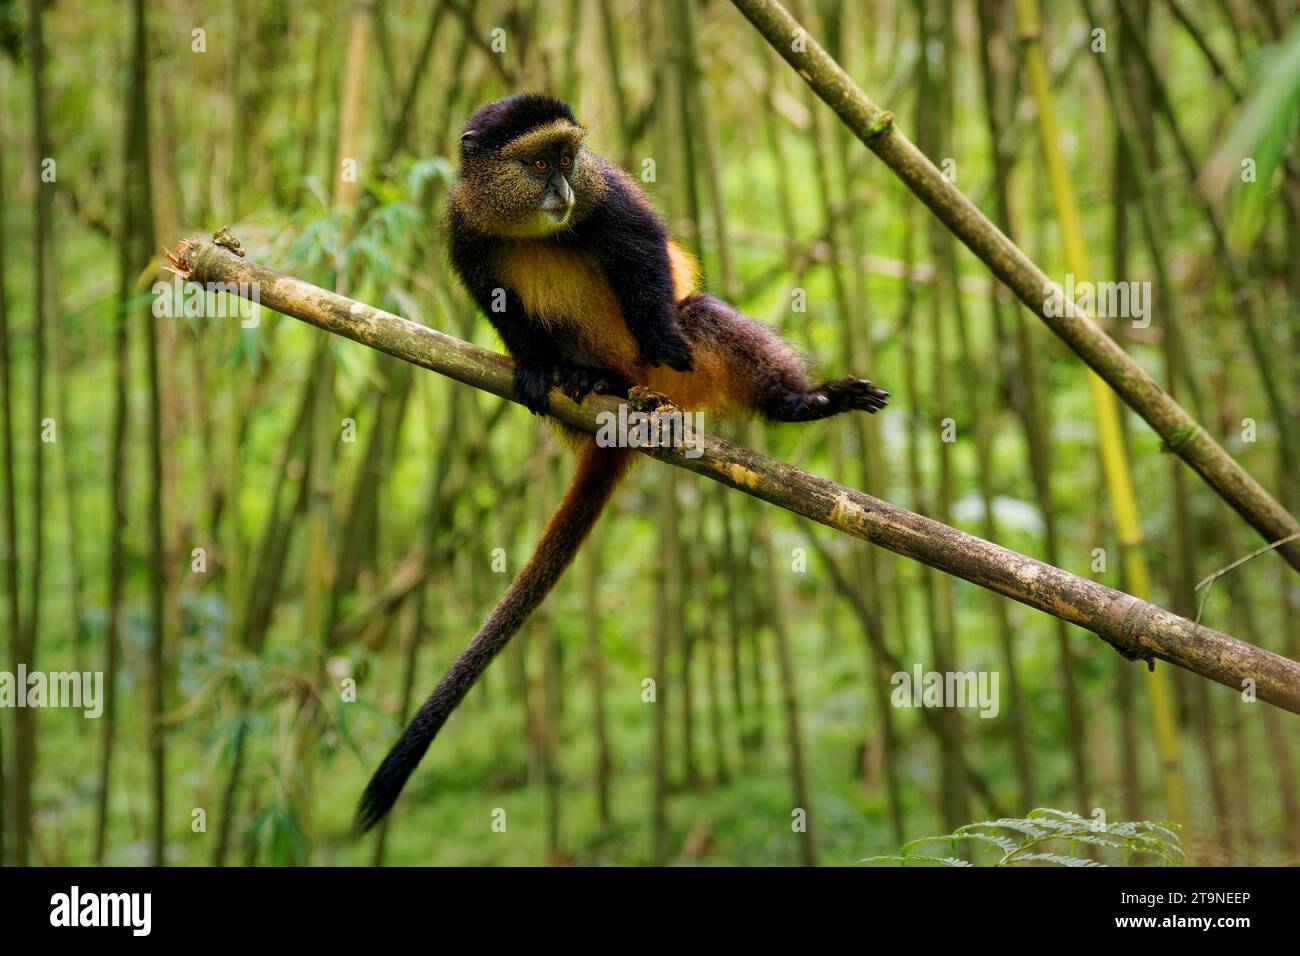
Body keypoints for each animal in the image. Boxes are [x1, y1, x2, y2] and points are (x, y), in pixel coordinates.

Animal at [354, 93, 887, 833]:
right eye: (538, 164)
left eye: (569, 157)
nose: (563, 191)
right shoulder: (463, 229)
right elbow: (495, 302)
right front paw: (536, 368)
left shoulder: (608, 192)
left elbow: (640, 246)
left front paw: (667, 327)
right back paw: (585, 378)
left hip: (685, 370)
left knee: (702, 316)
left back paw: (798, 401)